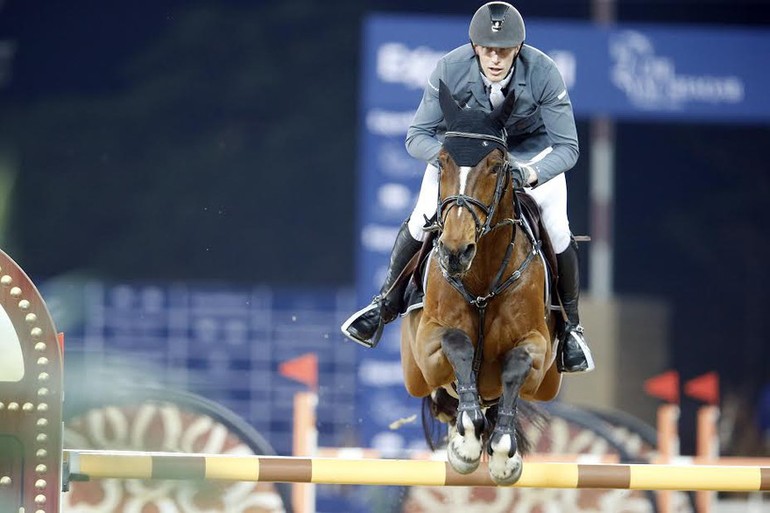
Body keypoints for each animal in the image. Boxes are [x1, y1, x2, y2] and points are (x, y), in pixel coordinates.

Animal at [400, 82, 560, 486]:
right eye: (442, 161)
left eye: (496, 166)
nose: (456, 251)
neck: (483, 275)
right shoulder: (428, 345)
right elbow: (458, 343)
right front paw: (468, 443)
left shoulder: (538, 353)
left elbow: (517, 364)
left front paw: (503, 453)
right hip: (415, 376)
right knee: (444, 399)